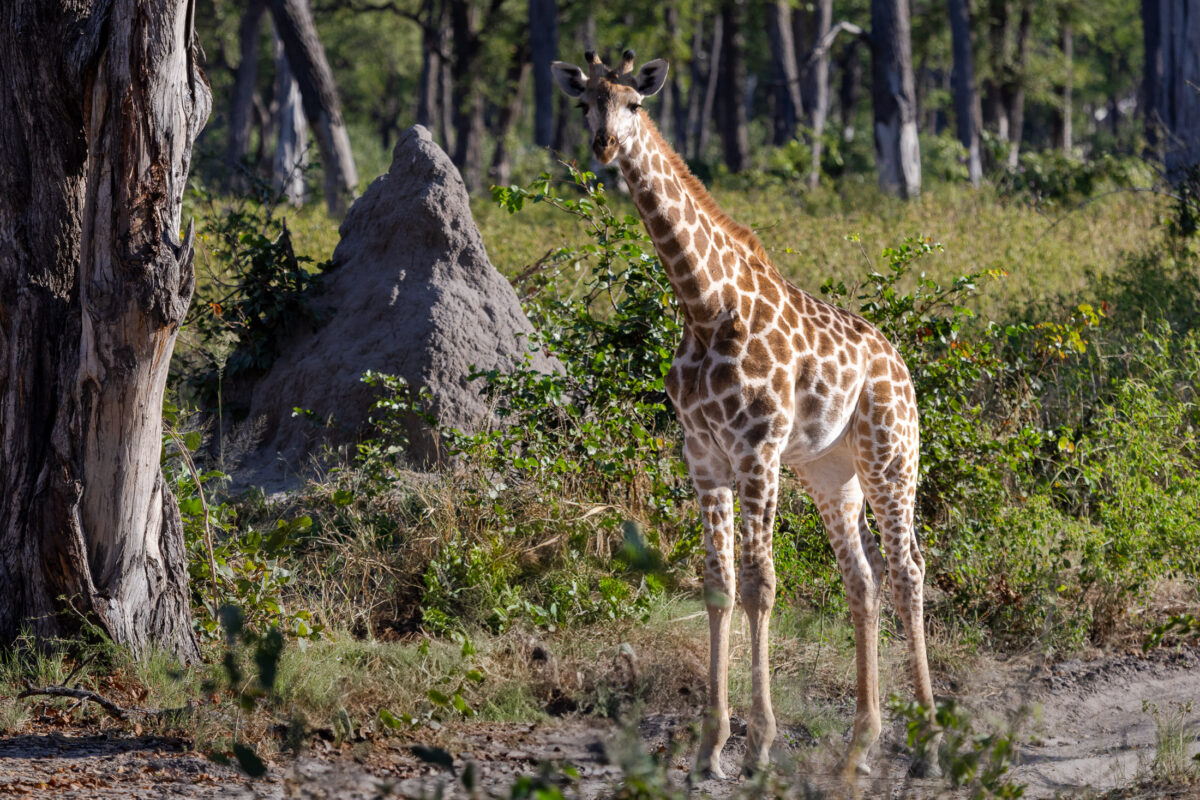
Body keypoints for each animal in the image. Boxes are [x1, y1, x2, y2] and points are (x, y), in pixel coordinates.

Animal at [551, 50, 940, 779]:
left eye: (635, 103)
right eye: (585, 104)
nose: (604, 147)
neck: (704, 306)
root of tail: (900, 363)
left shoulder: (757, 450)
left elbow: (762, 585)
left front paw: (758, 745)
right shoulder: (703, 456)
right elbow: (719, 584)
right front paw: (709, 747)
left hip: (890, 455)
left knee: (908, 571)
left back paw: (929, 747)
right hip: (830, 472)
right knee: (863, 581)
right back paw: (860, 746)